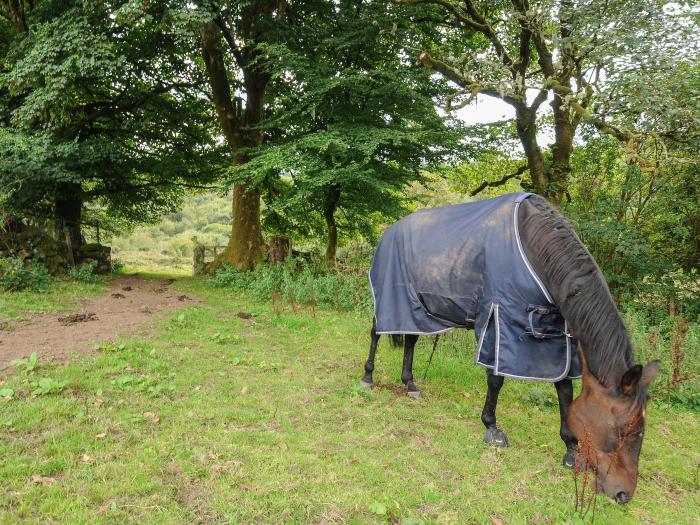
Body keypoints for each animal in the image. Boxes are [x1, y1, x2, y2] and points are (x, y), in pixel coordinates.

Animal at [358, 192, 660, 504]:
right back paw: (367, 377)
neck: (536, 246)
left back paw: (410, 384)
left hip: (418, 307)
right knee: (376, 332)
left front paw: (570, 448)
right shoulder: (499, 318)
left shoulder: (557, 339)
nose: (624, 494)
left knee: (410, 339)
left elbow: (564, 389)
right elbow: (496, 379)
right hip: (390, 297)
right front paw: (492, 428)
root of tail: (388, 232)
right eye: (624, 429)